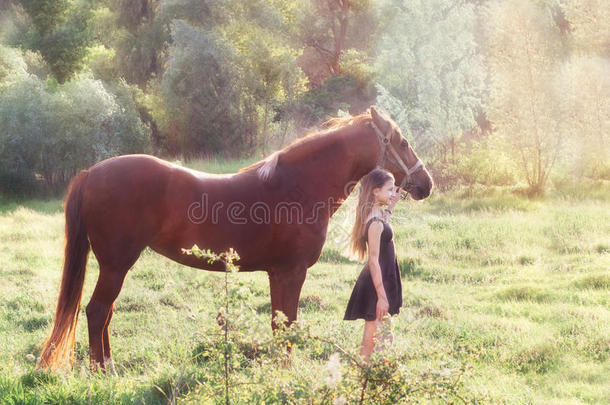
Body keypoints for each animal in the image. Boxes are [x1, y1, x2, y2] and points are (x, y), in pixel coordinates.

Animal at [38, 105, 432, 370]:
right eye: (403, 142)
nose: (426, 184)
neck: (297, 187)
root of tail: (90, 173)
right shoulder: (291, 272)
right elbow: (286, 325)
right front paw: (286, 373)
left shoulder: (278, 274)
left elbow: (278, 324)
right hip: (116, 264)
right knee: (96, 311)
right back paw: (104, 372)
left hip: (116, 266)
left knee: (104, 313)